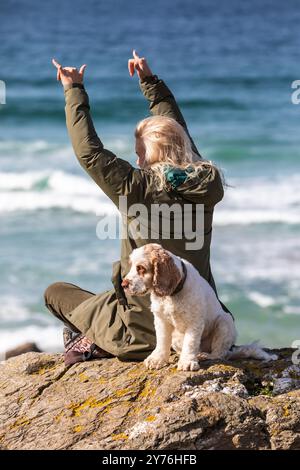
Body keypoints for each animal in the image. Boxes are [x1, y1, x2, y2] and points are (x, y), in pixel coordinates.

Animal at [120, 242, 278, 370]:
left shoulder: (194, 322)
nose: (123, 284)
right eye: (131, 266)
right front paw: (157, 359)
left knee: (220, 353)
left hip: (225, 322)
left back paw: (205, 355)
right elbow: (162, 340)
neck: (172, 295)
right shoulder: (161, 320)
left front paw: (187, 362)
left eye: (141, 268)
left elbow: (190, 343)